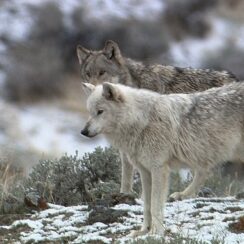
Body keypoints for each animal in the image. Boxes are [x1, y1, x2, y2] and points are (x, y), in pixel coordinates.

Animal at [77, 39, 239, 196]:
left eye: (102, 72)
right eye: (87, 74)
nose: (91, 89)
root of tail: (235, 79)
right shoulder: (128, 147)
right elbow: (127, 175)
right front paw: (125, 194)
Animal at [80, 82, 244, 236]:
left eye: (100, 111)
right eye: (89, 112)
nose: (83, 131)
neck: (141, 121)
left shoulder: (159, 169)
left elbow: (155, 205)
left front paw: (156, 231)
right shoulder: (145, 172)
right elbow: (147, 206)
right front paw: (143, 230)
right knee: (204, 172)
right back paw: (183, 194)